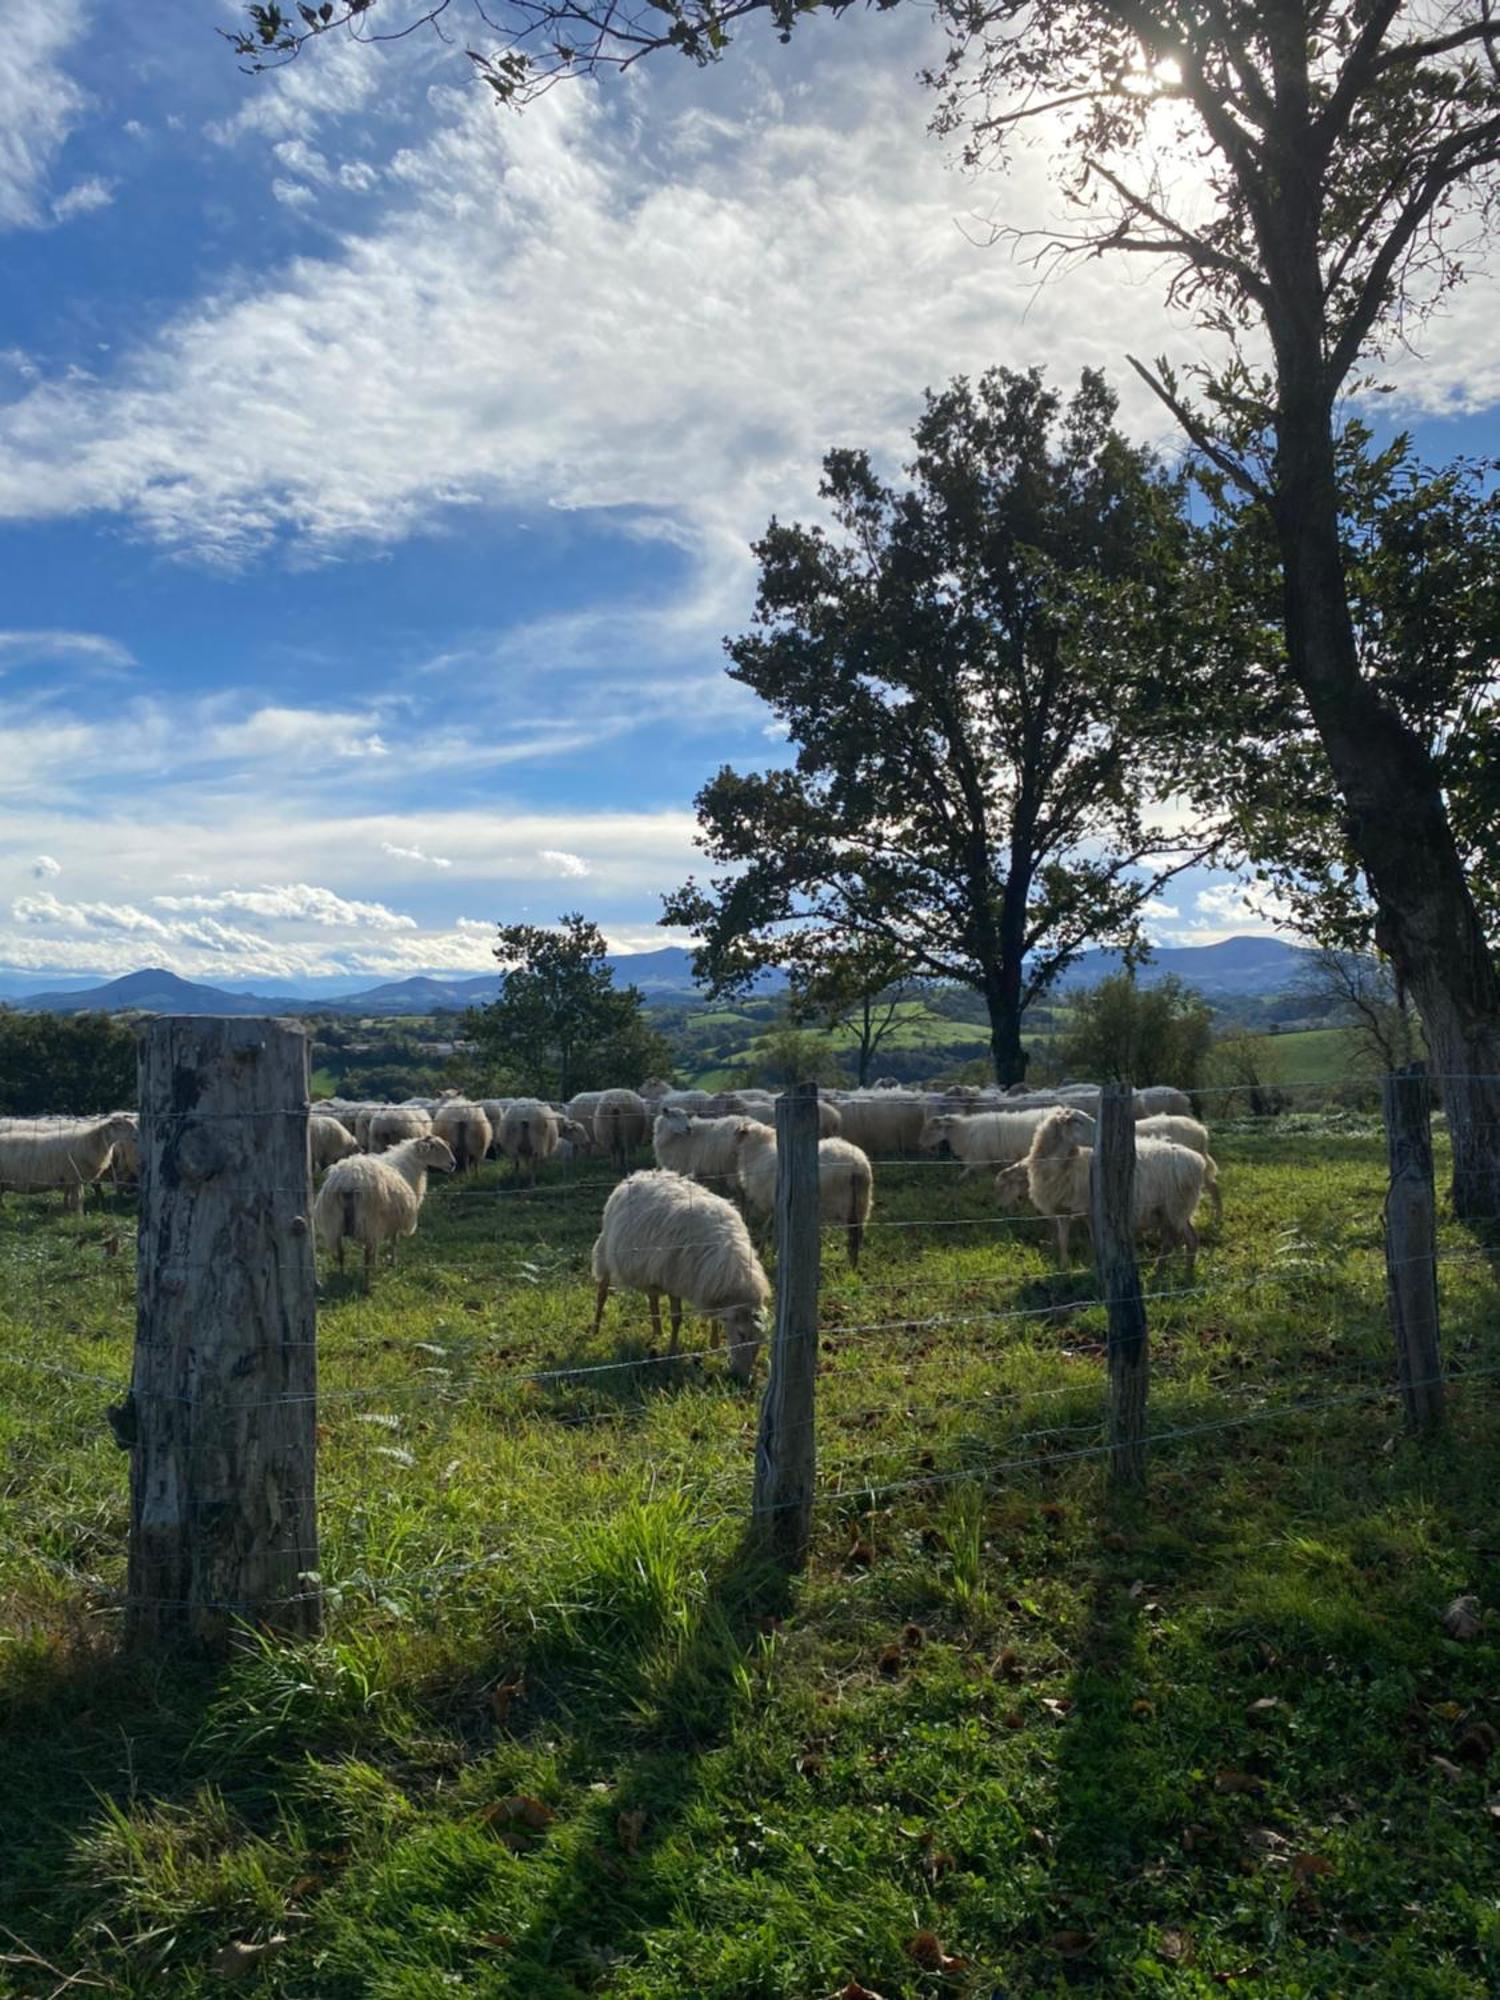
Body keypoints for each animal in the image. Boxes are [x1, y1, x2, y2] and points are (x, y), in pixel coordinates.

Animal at [0, 1120, 142, 1208]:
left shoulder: (68, 1178)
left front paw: (66, 1209)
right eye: (121, 1125)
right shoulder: (74, 1176)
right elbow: (78, 1199)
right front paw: (78, 1216)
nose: (138, 1135)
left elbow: (68, 1197)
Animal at [312, 1136, 456, 1288]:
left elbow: (380, 1246)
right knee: (366, 1254)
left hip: (334, 1222)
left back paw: (342, 1277)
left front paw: (378, 1264)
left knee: (341, 1253)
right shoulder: (394, 1219)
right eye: (434, 1147)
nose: (453, 1164)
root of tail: (348, 1181)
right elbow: (394, 1241)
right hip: (369, 1221)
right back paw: (367, 1285)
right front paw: (392, 1263)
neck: (411, 1163)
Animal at [592, 1168, 776, 1376]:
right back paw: (595, 1329)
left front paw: (714, 1345)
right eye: (741, 1334)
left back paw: (657, 1333)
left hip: (651, 1269)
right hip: (607, 1249)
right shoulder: (675, 1280)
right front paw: (672, 1353)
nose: (743, 1377)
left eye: (761, 1340)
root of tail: (640, 1174)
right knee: (602, 1291)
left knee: (652, 1299)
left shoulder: (707, 1284)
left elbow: (714, 1316)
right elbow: (677, 1318)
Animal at [736, 1128, 876, 1264]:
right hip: (861, 1203)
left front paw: (769, 1253)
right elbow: (771, 1226)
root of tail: (857, 1166)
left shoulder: (775, 1202)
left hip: (837, 1204)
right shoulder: (776, 1205)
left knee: (853, 1235)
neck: (758, 1151)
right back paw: (853, 1263)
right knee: (857, 1234)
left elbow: (771, 1228)